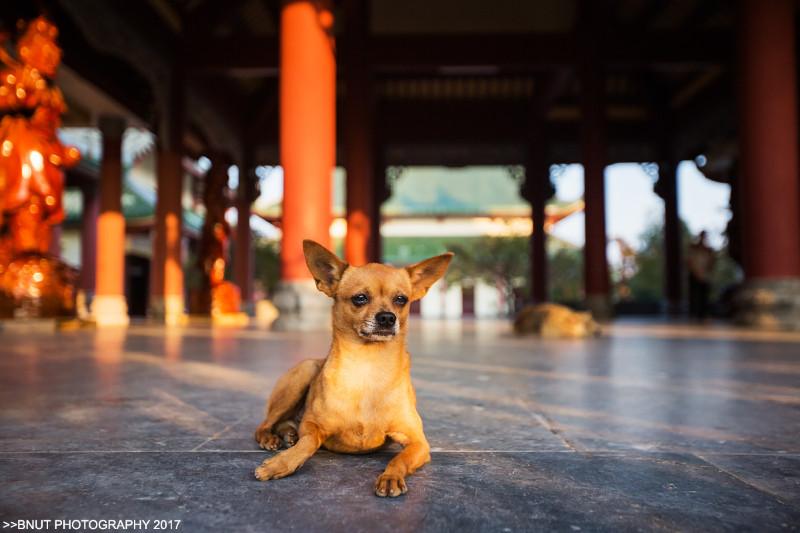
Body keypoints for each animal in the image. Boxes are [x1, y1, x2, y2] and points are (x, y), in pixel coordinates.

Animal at [253, 239, 454, 496]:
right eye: (360, 298)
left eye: (401, 299)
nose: (387, 317)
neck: (368, 368)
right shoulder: (312, 425)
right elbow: (308, 442)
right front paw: (280, 464)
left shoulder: (418, 442)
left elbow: (399, 459)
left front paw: (390, 477)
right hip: (304, 373)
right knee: (265, 424)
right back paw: (272, 438)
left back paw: (288, 433)